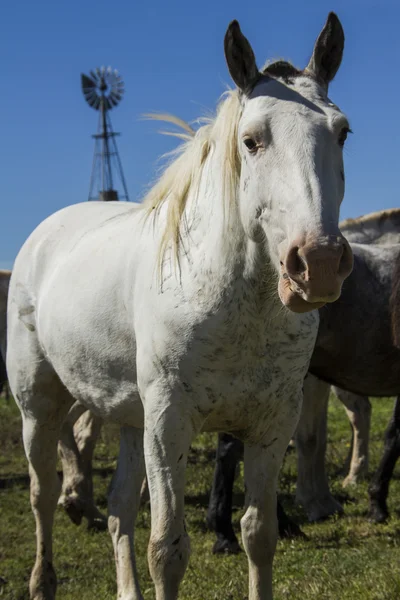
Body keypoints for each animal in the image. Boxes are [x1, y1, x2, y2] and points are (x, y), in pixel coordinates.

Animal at [7, 12, 354, 600]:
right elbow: (167, 550)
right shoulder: (169, 422)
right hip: (41, 407)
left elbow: (258, 535)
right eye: (251, 140)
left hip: (130, 420)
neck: (234, 306)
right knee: (42, 495)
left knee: (120, 510)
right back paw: (42, 581)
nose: (320, 263)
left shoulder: (271, 423)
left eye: (342, 132)